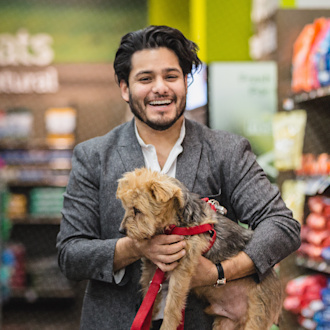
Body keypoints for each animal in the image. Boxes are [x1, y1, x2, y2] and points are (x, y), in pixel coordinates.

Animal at [117, 169, 282, 328]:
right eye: (126, 207)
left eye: (137, 210)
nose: (121, 230)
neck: (177, 224)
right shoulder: (152, 267)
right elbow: (148, 300)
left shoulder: (182, 269)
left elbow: (172, 306)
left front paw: (167, 325)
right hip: (225, 323)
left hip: (257, 316)